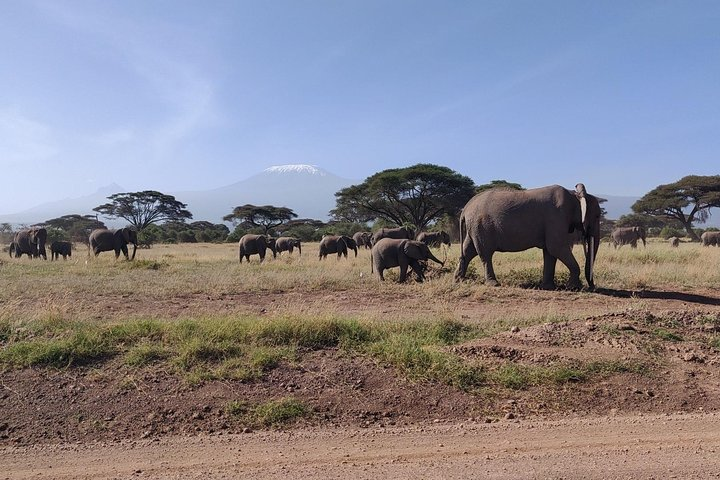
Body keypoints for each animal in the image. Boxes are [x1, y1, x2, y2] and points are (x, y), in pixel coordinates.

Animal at [454, 183, 602, 291]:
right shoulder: (556, 218)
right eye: (597, 216)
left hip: (475, 227)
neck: (575, 196)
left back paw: (458, 280)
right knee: (485, 254)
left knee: (468, 251)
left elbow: (550, 252)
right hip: (482, 226)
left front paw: (549, 288)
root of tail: (465, 209)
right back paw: (493, 284)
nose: (592, 287)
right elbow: (556, 247)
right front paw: (574, 288)